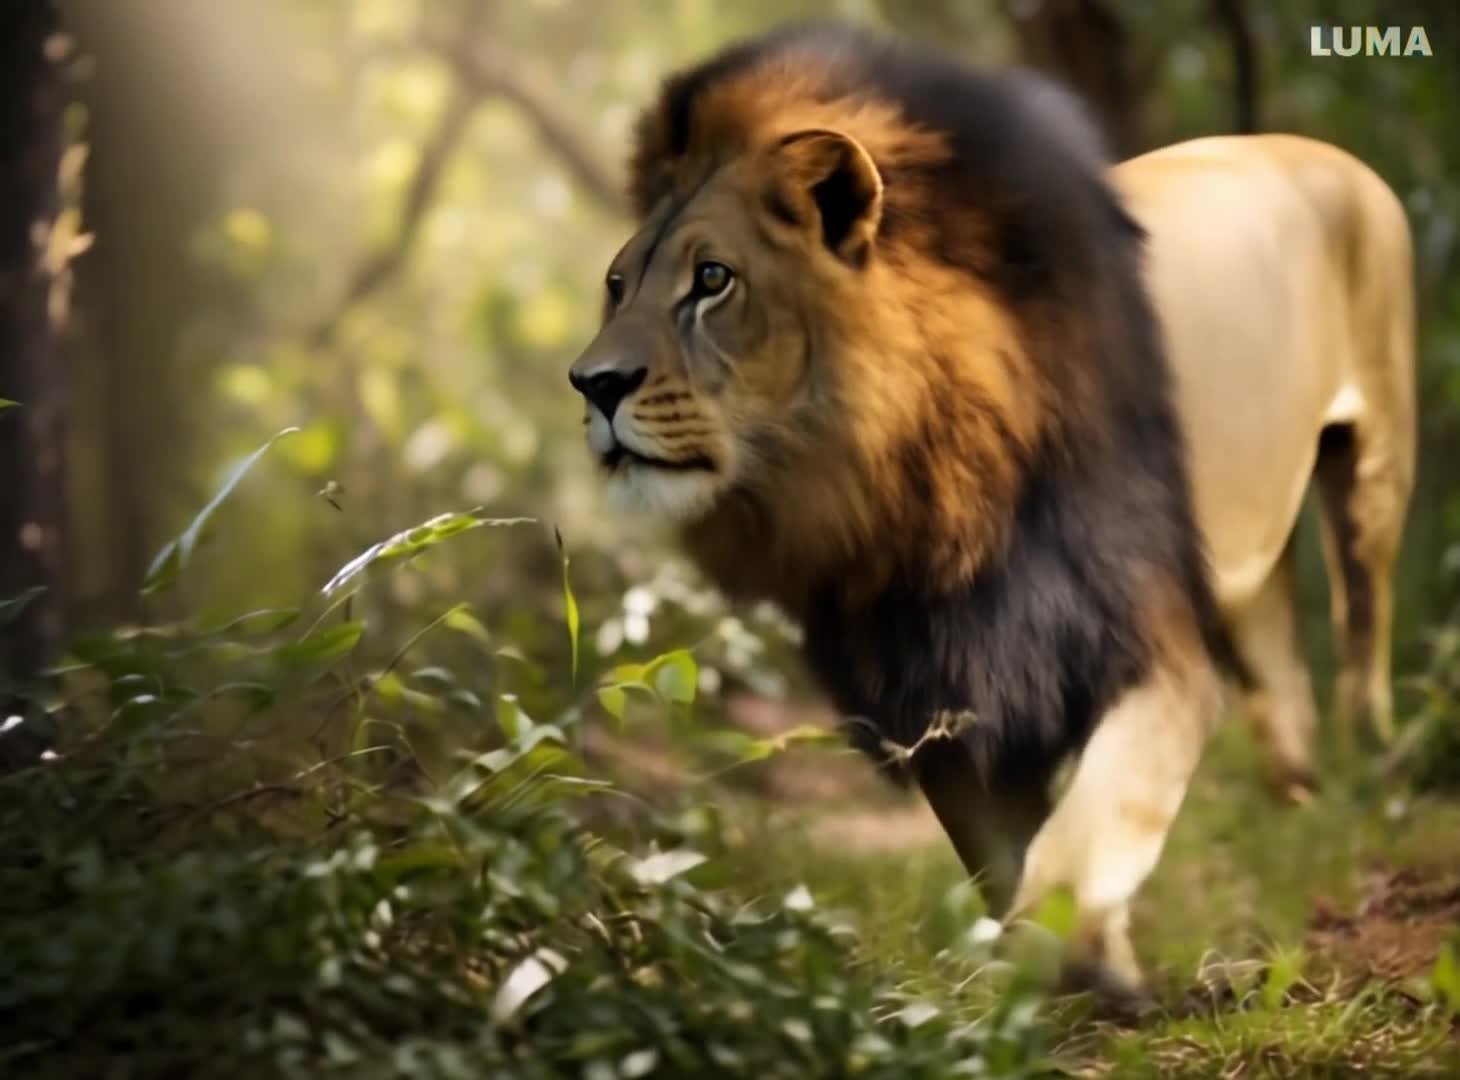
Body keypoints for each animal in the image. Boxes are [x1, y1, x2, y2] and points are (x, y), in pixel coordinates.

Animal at [568, 24, 1414, 994]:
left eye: (712, 278)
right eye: (618, 284)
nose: (591, 383)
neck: (908, 494)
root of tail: (1318, 148)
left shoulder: (1144, 644)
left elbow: (1086, 830)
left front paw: (1079, 959)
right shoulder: (934, 691)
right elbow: (1006, 858)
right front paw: (1053, 979)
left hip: (1373, 484)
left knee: (1364, 635)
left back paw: (1373, 777)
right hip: (1248, 571)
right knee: (1283, 700)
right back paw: (1299, 817)